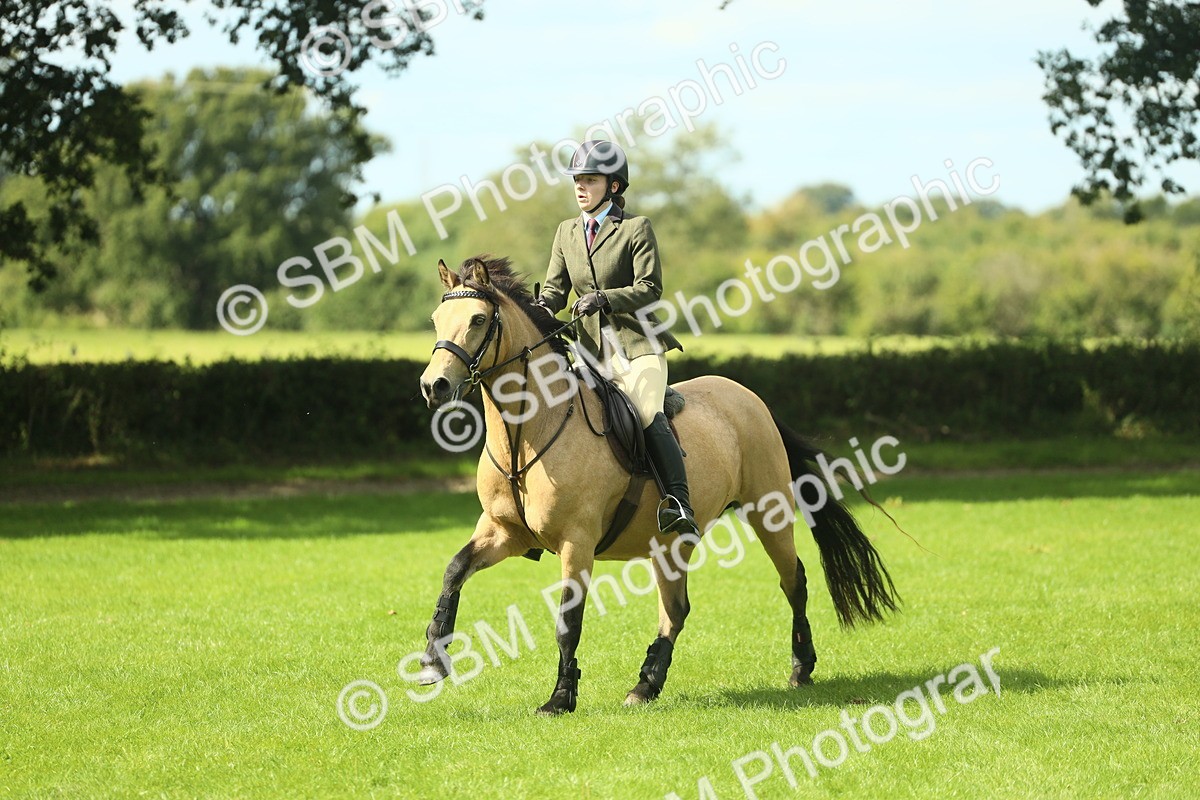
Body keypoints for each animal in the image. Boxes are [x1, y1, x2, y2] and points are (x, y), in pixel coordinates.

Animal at [417, 255, 899, 715]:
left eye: (479, 319)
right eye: (436, 320)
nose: (433, 386)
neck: (530, 431)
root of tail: (750, 398)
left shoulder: (577, 542)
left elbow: (568, 623)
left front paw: (559, 699)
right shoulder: (504, 532)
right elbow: (454, 572)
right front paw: (432, 663)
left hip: (769, 511)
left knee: (793, 581)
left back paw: (801, 667)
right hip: (668, 543)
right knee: (676, 609)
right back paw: (646, 685)